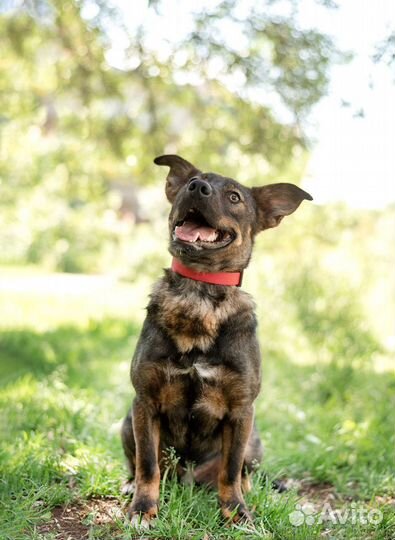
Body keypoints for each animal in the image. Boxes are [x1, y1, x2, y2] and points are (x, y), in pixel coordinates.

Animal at [120, 153, 312, 528]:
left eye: (235, 196)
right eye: (189, 184)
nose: (197, 188)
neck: (199, 294)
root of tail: (187, 479)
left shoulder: (240, 412)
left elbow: (230, 470)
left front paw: (236, 511)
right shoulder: (144, 402)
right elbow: (147, 465)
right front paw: (143, 508)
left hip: (254, 441)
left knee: (243, 473)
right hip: (126, 424)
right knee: (146, 465)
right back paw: (131, 484)